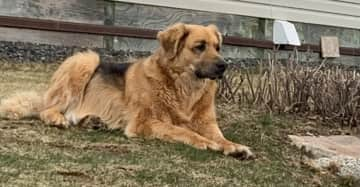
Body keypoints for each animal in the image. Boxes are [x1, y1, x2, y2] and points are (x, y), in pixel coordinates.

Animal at [0, 22, 253, 159]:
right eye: (199, 47)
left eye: (218, 47)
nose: (223, 66)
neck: (184, 87)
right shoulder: (145, 122)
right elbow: (182, 131)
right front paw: (204, 142)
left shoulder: (206, 124)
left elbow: (220, 137)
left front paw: (233, 146)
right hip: (86, 59)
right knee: (48, 109)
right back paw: (57, 118)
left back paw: (91, 121)